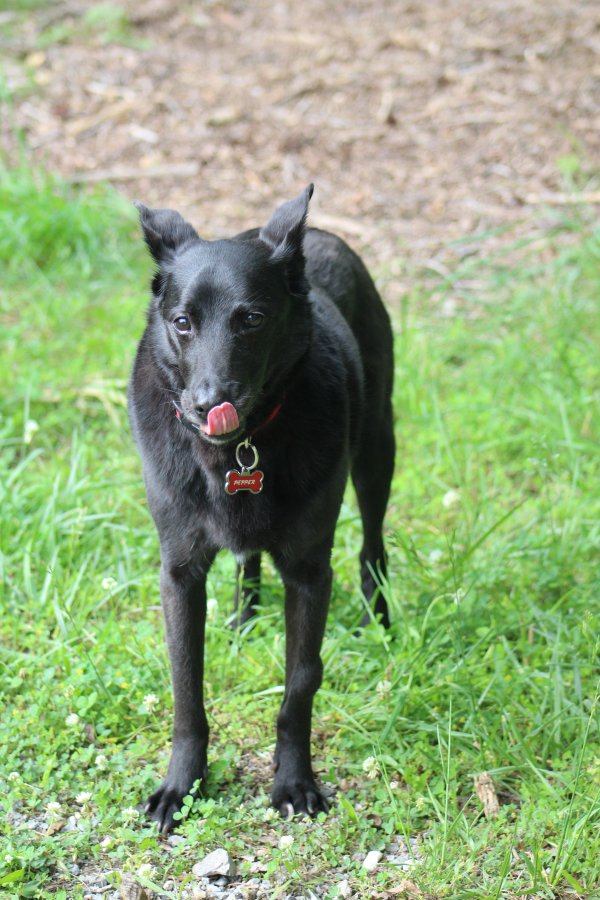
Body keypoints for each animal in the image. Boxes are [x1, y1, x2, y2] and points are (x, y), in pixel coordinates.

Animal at [129, 186, 396, 832]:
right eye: (182, 323)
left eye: (250, 319)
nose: (208, 405)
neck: (237, 448)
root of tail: (318, 234)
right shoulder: (178, 572)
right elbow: (186, 687)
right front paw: (181, 785)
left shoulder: (309, 572)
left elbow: (300, 685)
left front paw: (294, 783)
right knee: (247, 558)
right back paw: (244, 616)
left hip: (378, 450)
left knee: (372, 545)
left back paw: (380, 623)